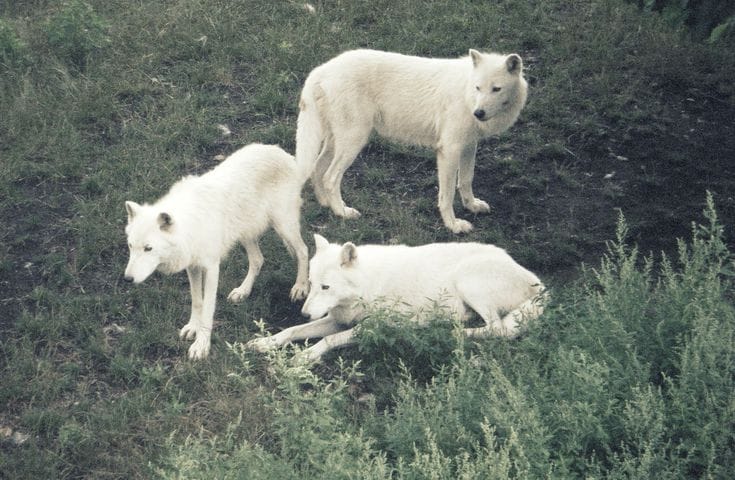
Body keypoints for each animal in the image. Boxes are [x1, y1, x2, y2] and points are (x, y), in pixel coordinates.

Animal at [124, 143, 310, 359]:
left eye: (148, 248)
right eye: (130, 246)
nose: (127, 279)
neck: (190, 225)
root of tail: (283, 153)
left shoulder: (212, 267)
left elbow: (208, 308)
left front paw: (201, 345)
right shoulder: (193, 267)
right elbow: (197, 301)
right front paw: (192, 328)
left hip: (283, 226)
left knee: (303, 250)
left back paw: (300, 287)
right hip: (245, 233)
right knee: (258, 259)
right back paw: (242, 291)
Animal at [248, 234, 546, 362]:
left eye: (326, 287)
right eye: (310, 284)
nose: (305, 312)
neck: (367, 286)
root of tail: (539, 284)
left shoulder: (374, 326)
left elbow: (330, 340)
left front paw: (305, 356)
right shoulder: (336, 318)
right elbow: (292, 331)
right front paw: (264, 343)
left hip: (468, 281)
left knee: (497, 328)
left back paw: (450, 333)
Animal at [295, 48, 528, 233]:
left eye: (496, 89)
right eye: (478, 88)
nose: (478, 113)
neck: (466, 92)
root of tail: (321, 70)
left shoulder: (469, 146)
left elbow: (466, 180)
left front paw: (472, 206)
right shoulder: (449, 150)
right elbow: (447, 194)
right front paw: (453, 225)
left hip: (337, 142)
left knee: (317, 169)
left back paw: (325, 204)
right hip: (354, 141)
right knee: (330, 177)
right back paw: (342, 212)